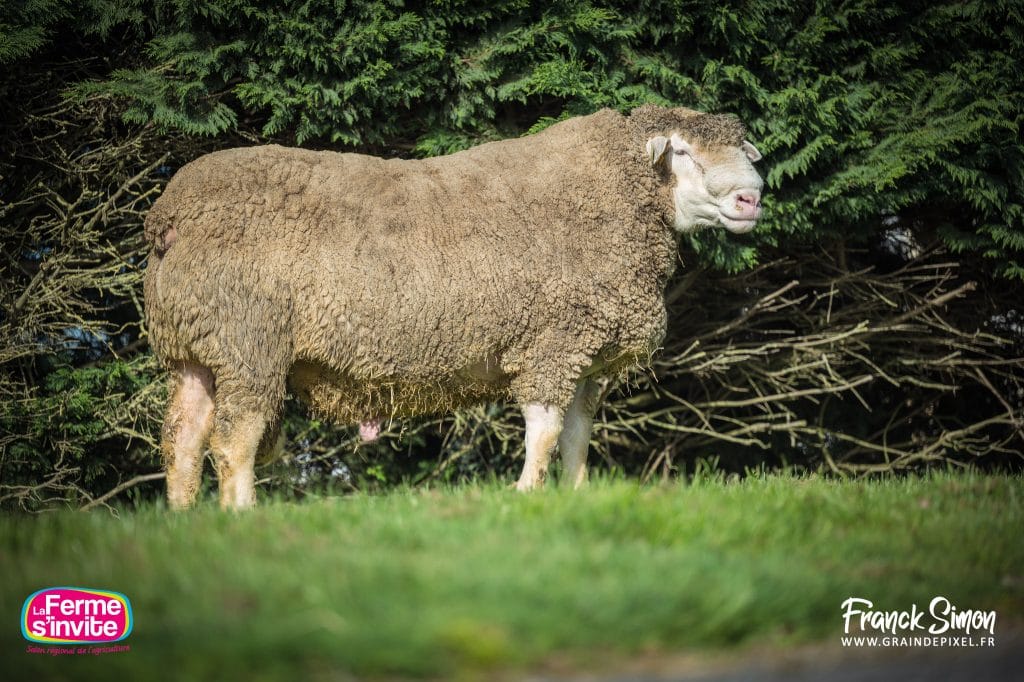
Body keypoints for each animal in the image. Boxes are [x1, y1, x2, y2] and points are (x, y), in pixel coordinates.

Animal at [143, 104, 765, 509]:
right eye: (681, 151)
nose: (751, 198)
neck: (614, 196)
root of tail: (170, 217)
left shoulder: (587, 360)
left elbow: (576, 436)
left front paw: (575, 496)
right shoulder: (553, 344)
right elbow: (544, 431)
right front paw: (526, 494)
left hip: (197, 346)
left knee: (182, 438)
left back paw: (185, 519)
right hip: (247, 341)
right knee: (233, 441)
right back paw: (241, 516)